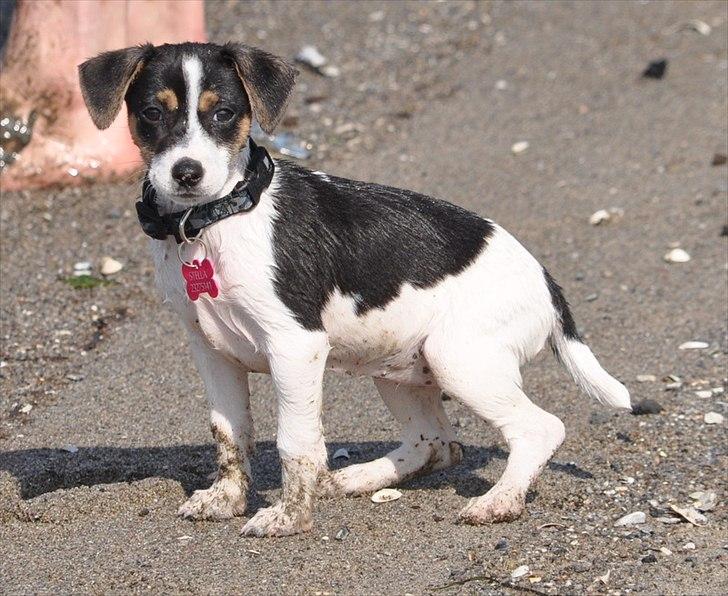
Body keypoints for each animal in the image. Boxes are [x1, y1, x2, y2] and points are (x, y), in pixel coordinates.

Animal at [77, 40, 628, 536]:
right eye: (152, 113)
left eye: (225, 114)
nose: (186, 173)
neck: (214, 222)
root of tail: (545, 281)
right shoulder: (211, 351)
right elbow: (230, 434)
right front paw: (228, 500)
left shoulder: (295, 346)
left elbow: (295, 442)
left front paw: (289, 517)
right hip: (402, 365)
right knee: (436, 442)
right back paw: (358, 478)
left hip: (460, 359)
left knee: (538, 429)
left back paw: (500, 501)